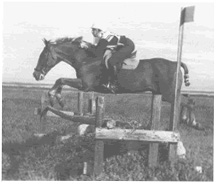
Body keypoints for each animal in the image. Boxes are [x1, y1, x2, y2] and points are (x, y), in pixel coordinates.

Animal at [32, 35, 190, 108]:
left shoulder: (85, 85)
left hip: (169, 95)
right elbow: (60, 80)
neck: (86, 59)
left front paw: (55, 97)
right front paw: (57, 99)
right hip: (162, 94)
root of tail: (176, 63)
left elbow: (61, 79)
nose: (35, 74)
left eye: (43, 55)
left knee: (186, 104)